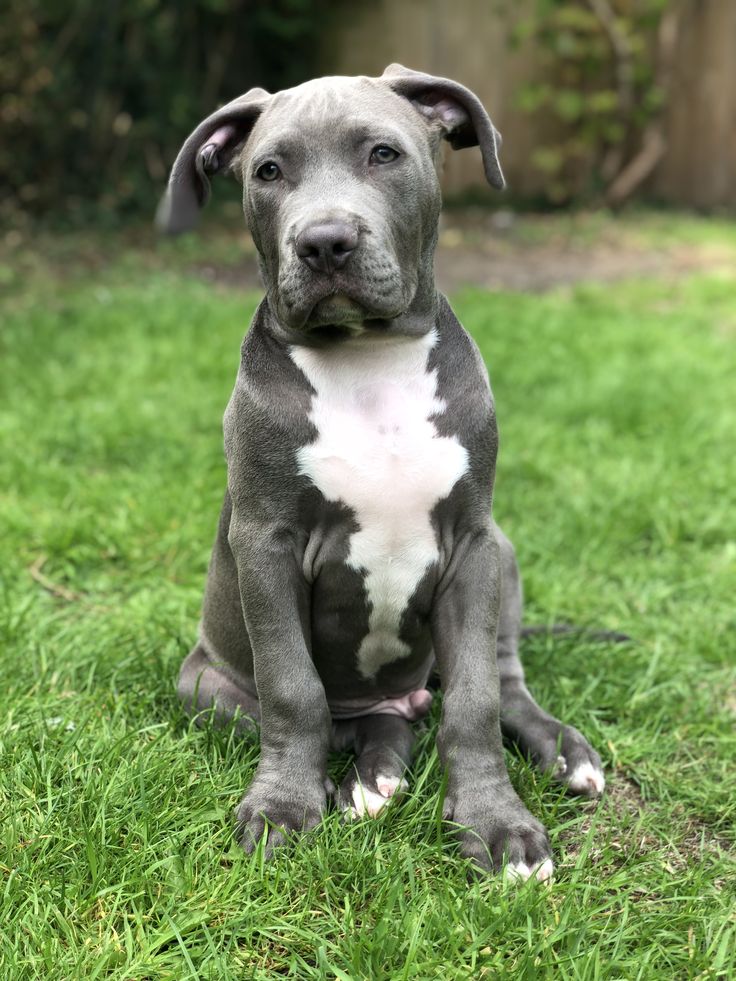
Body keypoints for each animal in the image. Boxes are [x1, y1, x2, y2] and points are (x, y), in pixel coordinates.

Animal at [160, 69, 604, 880]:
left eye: (383, 154)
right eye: (268, 171)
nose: (324, 241)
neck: (367, 361)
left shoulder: (471, 545)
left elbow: (474, 703)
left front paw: (497, 823)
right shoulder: (265, 545)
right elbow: (293, 690)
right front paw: (283, 808)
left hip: (505, 555)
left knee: (502, 684)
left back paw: (560, 750)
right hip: (205, 682)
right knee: (356, 722)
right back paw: (372, 778)